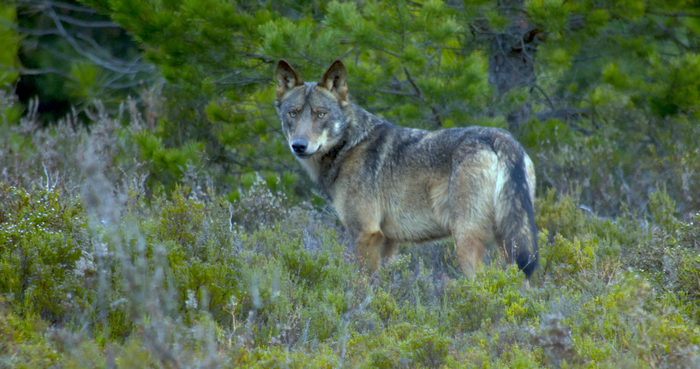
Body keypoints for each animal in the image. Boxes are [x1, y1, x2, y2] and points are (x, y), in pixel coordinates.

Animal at [274, 59, 536, 278]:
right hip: (508, 243)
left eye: (321, 114)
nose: (299, 146)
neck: (349, 145)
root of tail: (501, 137)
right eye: (293, 113)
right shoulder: (389, 241)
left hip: (466, 240)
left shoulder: (365, 234)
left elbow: (361, 286)